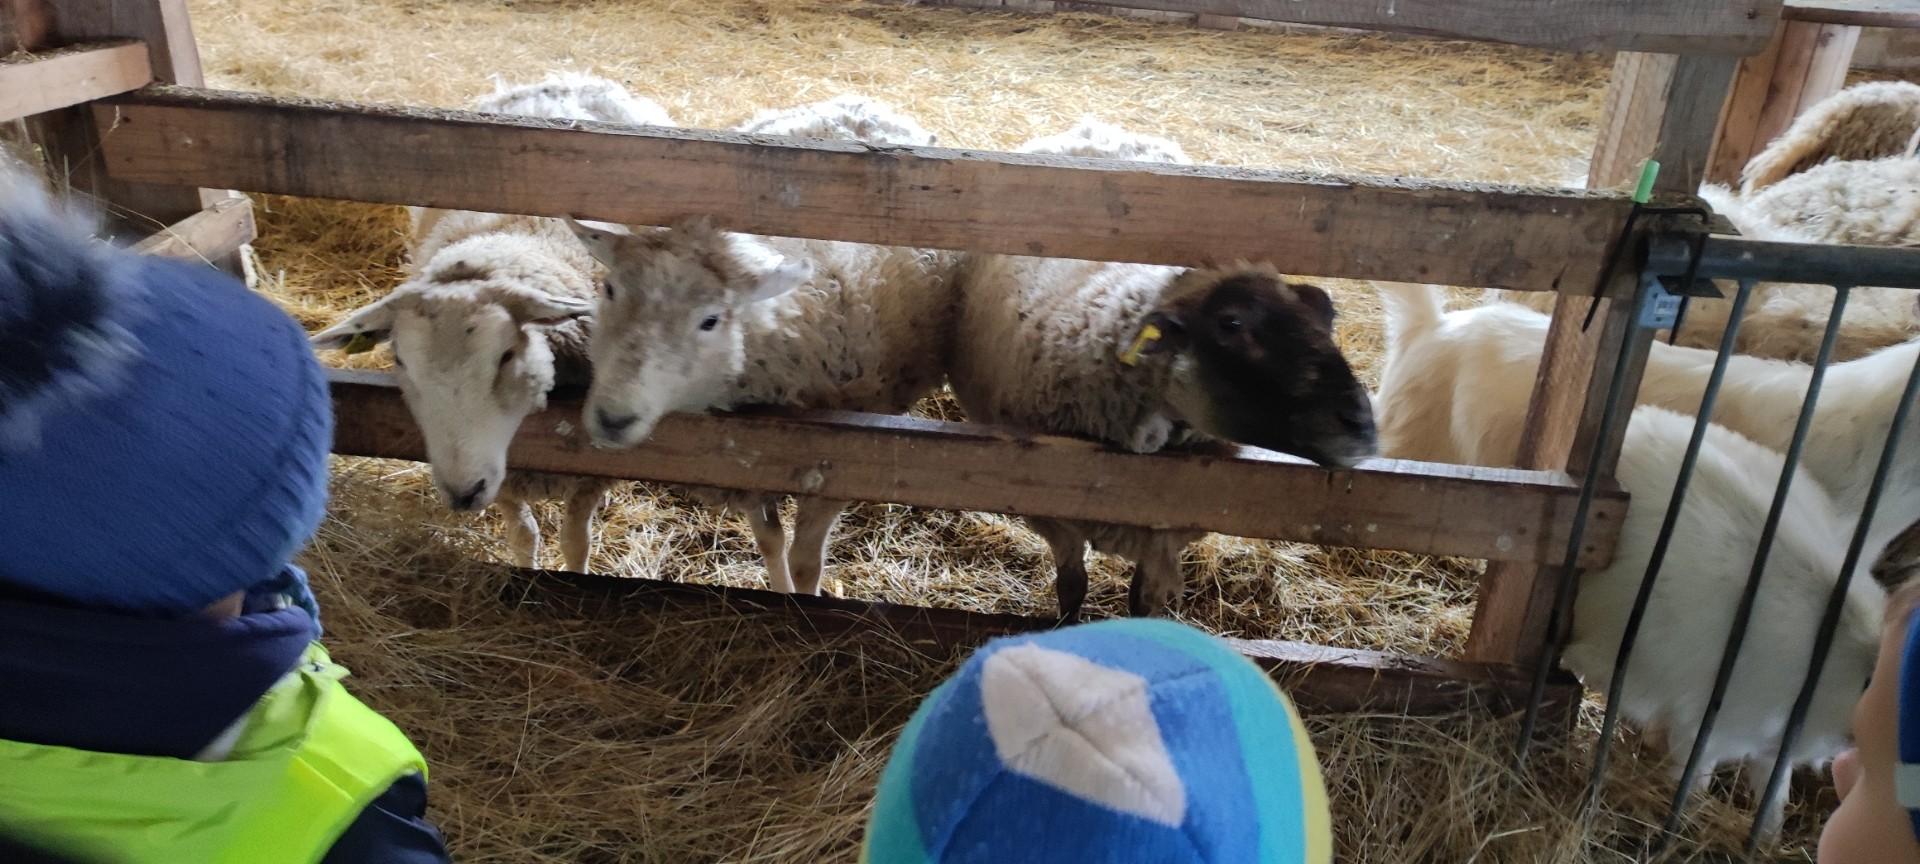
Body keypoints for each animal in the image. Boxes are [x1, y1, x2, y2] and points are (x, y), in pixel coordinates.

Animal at [311, 74, 677, 572]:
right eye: (400, 361)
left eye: (506, 355)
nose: (463, 492)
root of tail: (565, 79)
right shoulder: (505, 481)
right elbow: (524, 536)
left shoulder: (588, 470)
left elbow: (575, 541)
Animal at [946, 122, 1376, 622]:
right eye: (1231, 324)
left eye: (1328, 320)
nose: (1362, 425)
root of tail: (1099, 128)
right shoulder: (1052, 510)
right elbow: (1072, 588)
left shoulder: (1165, 523)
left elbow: (1143, 604)